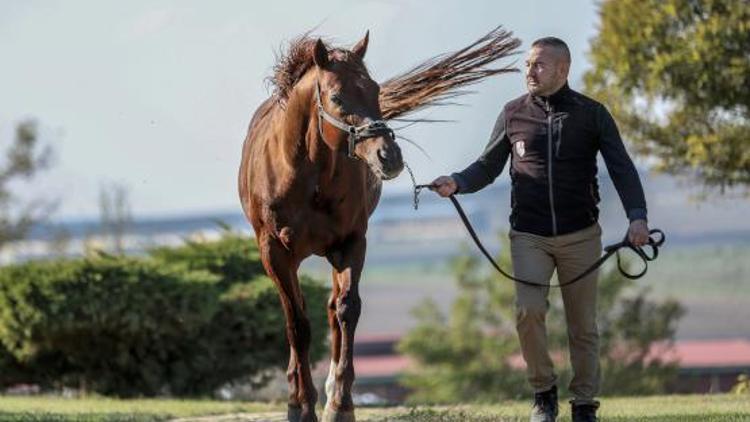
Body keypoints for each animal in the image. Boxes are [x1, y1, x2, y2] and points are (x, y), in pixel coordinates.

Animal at [238, 28, 520, 420]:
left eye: (375, 89)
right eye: (337, 96)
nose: (389, 156)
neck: (306, 174)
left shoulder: (351, 243)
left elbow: (347, 310)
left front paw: (340, 404)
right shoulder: (275, 252)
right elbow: (297, 323)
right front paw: (303, 404)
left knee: (331, 309)